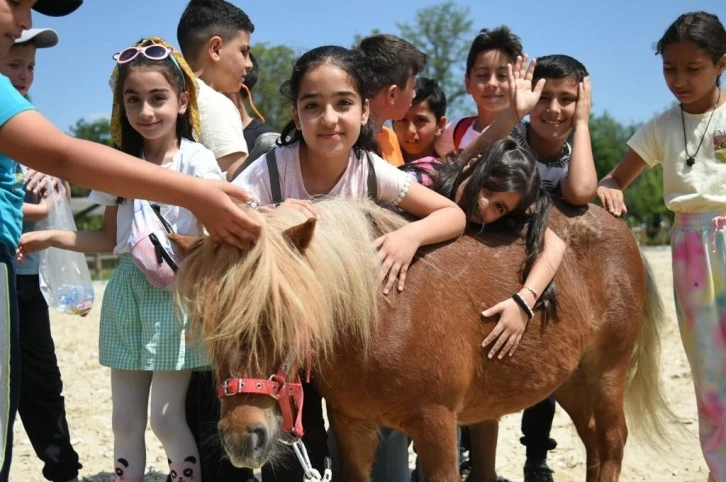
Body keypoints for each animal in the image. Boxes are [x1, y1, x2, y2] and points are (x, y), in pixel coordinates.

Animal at [173, 197, 672, 482]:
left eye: (285, 315)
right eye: (208, 327)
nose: (244, 438)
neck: (380, 317)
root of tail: (622, 230)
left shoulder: (437, 428)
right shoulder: (353, 428)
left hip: (606, 373)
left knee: (612, 442)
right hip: (569, 379)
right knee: (594, 444)